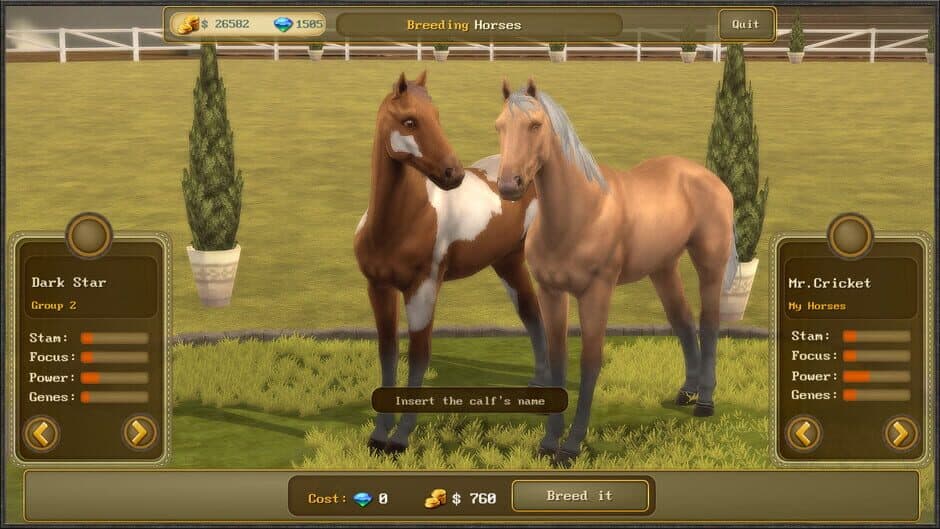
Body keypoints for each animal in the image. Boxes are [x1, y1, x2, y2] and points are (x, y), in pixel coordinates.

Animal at [354, 72, 548, 454]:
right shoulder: (378, 288)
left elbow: (419, 354)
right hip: (508, 262)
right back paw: (539, 380)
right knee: (531, 312)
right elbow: (387, 352)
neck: (400, 222)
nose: (453, 174)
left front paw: (400, 438)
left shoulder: (423, 288)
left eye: (437, 116)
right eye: (409, 121)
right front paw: (378, 436)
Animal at [494, 78, 736, 466]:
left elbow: (590, 362)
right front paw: (548, 443)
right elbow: (558, 358)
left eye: (535, 125)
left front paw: (571, 446)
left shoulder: (596, 293)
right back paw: (686, 393)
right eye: (499, 126)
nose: (508, 185)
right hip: (663, 269)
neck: (579, 213)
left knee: (709, 323)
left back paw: (706, 402)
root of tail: (708, 178)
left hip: (709, 264)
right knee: (682, 320)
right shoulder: (551, 292)